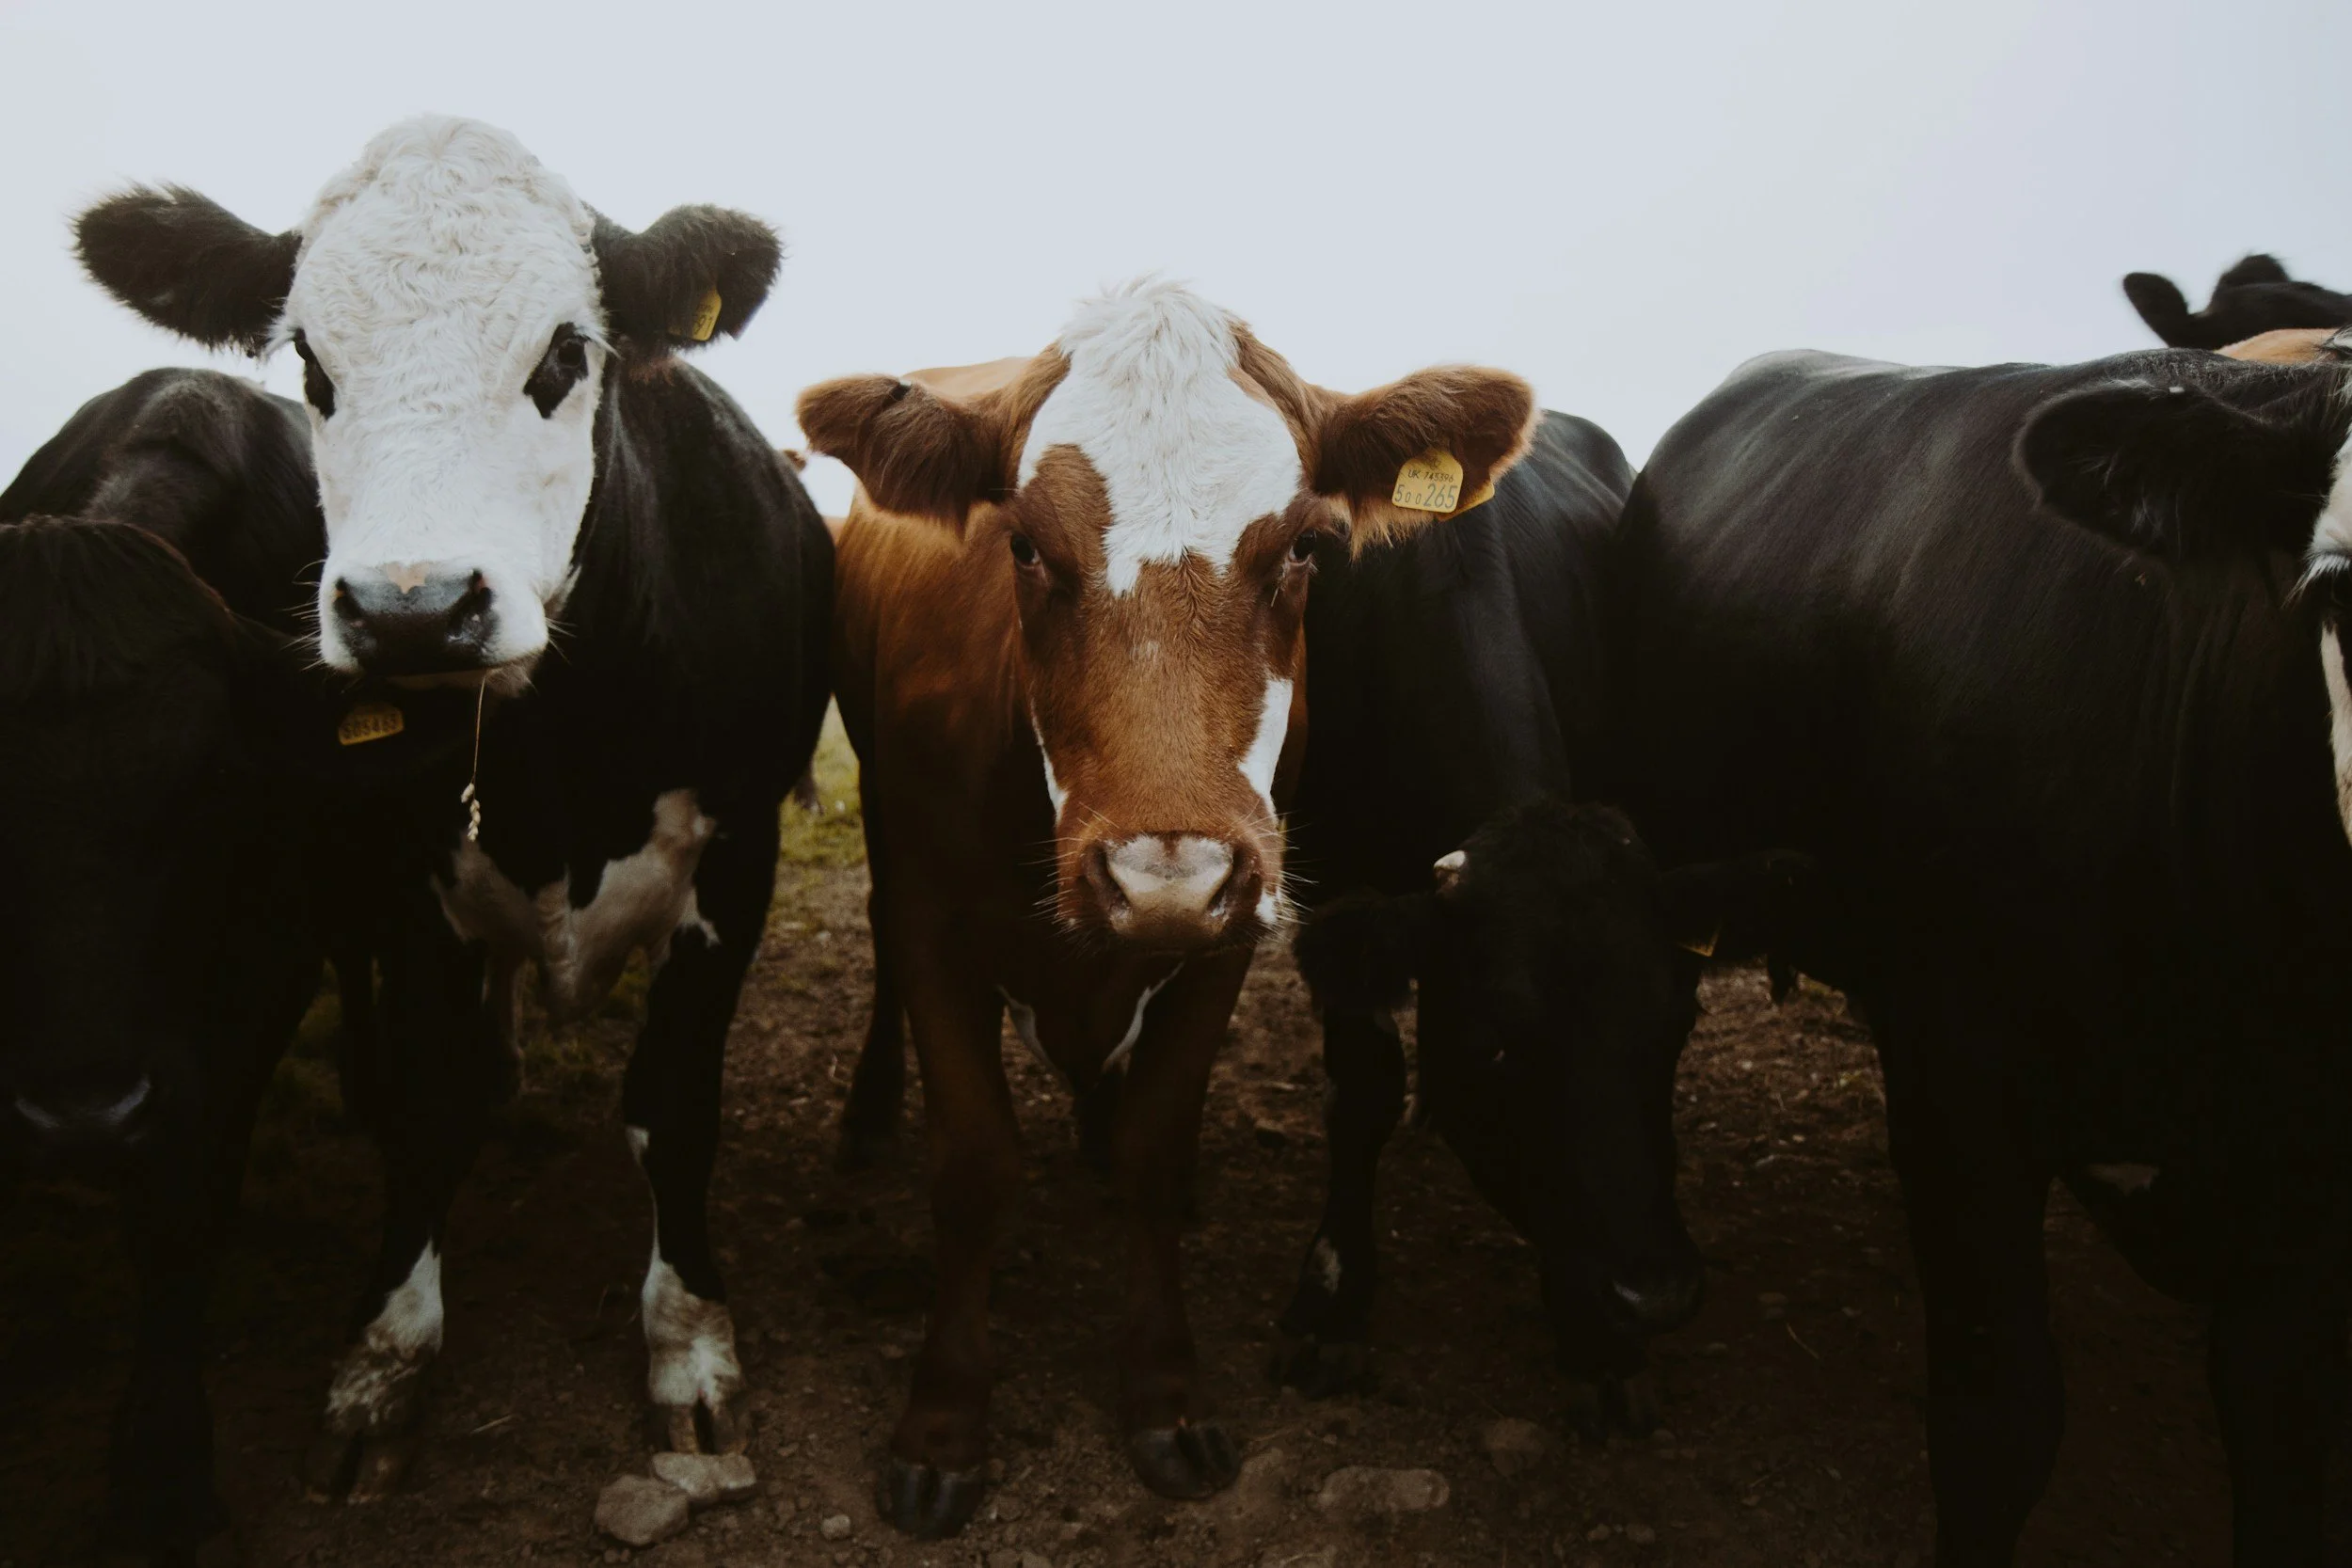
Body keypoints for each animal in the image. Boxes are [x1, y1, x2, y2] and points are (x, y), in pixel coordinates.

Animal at [70, 115, 834, 1500]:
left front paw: (689, 1344)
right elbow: (428, 1107)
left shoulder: (738, 856)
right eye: (310, 362)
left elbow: (673, 1104)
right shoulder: (410, 871)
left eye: (566, 352)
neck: (560, 754)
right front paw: (384, 1359)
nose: (411, 609)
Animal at [797, 279, 1543, 1536]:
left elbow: (1153, 1143)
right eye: (1023, 543)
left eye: (1306, 546)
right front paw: (944, 1420)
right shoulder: (937, 917)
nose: (1165, 873)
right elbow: (973, 1164)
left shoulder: (1226, 940)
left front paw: (1164, 1390)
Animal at [1290, 795, 1817, 1439]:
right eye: (1495, 1044)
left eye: (1681, 1022)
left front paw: (1599, 1346)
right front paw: (1331, 1301)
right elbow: (1365, 1093)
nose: (1657, 1294)